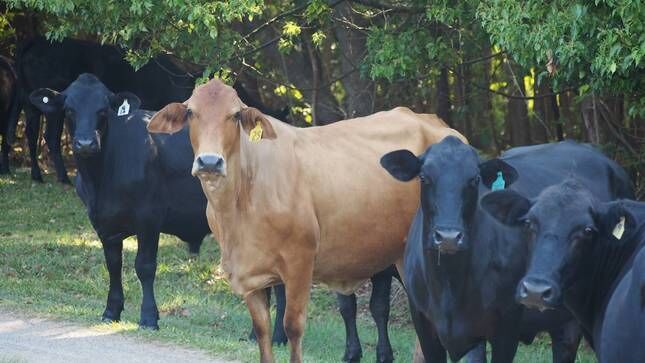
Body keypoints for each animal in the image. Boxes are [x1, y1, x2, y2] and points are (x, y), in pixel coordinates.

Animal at [15, 36, 286, 185]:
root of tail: (35, 40)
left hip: (31, 103)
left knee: (31, 132)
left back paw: (37, 175)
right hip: (54, 109)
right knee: (49, 136)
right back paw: (63, 177)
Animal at [144, 78, 460, 362]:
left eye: (234, 115)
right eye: (191, 113)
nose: (210, 162)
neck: (241, 198)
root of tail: (440, 125)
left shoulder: (299, 263)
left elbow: (292, 327)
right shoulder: (249, 275)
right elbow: (262, 330)